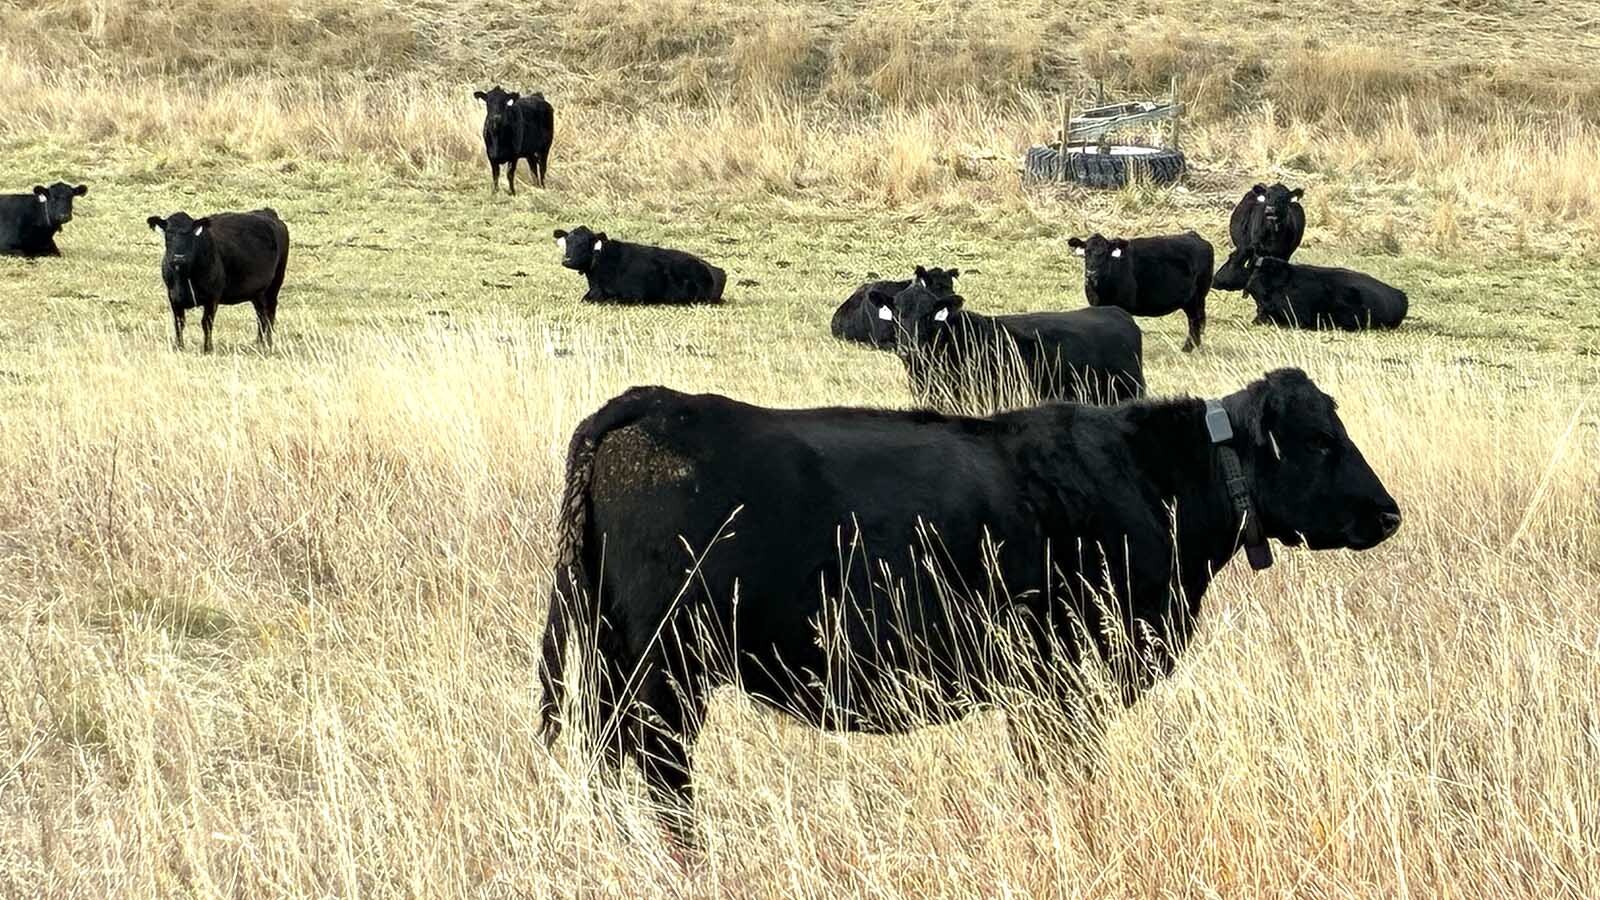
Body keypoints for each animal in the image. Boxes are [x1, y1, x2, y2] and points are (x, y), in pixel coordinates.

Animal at [147, 209, 290, 353]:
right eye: (169, 233)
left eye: (190, 234)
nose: (179, 258)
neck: (184, 278)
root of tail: (268, 212)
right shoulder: (173, 296)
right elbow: (179, 323)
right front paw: (179, 347)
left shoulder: (212, 297)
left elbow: (206, 323)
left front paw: (207, 349)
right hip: (257, 292)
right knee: (261, 315)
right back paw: (259, 342)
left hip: (275, 283)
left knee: (270, 313)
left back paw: (268, 343)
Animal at [535, 368, 1403, 847]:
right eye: (1321, 441)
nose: (1387, 512)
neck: (1147, 477)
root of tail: (651, 405)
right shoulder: (1062, 686)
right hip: (666, 673)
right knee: (662, 774)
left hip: (620, 667)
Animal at [1067, 231, 1213, 352]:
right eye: (1086, 252)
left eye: (1105, 254)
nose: (1091, 273)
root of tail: (1194, 236)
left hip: (1197, 298)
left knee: (1196, 321)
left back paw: (1187, 349)